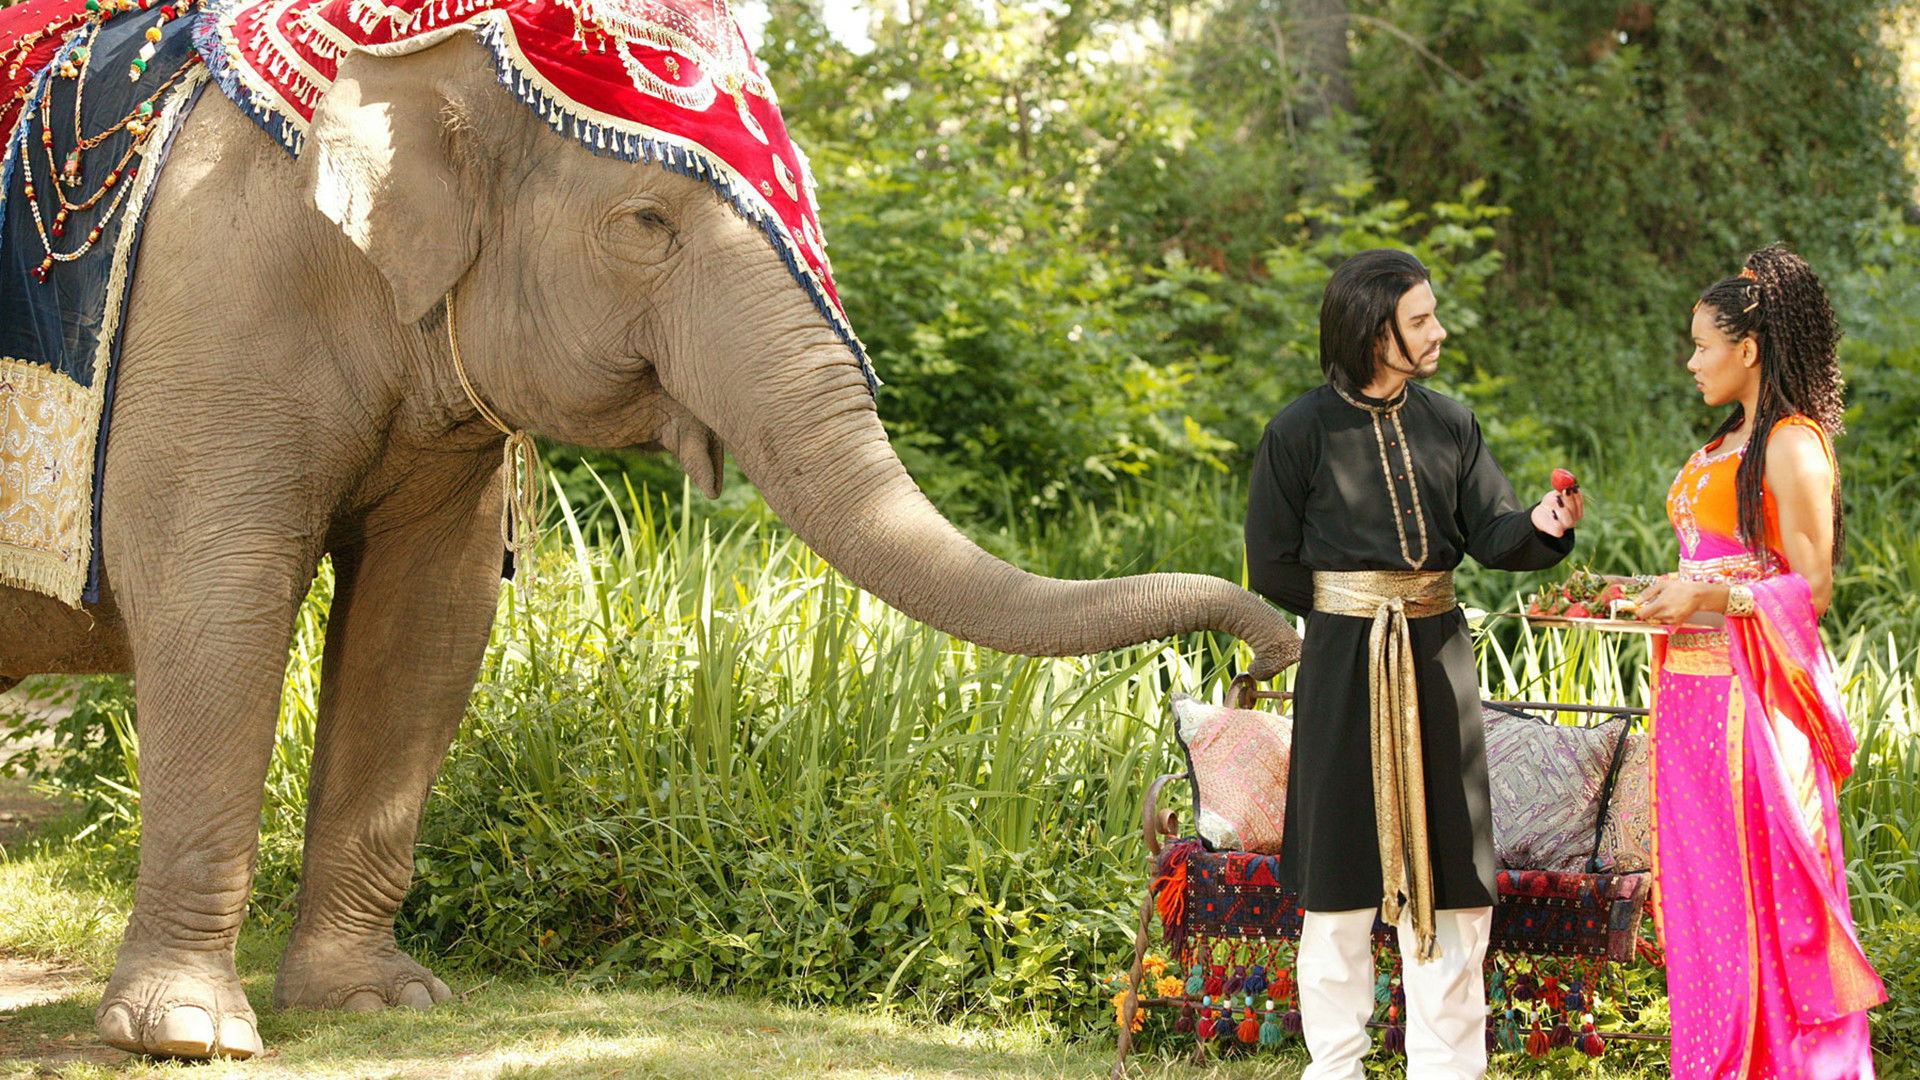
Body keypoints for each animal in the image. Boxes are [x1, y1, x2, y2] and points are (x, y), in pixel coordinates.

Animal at [0, 24, 1299, 1062]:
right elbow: (218, 600)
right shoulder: (211, 307)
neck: (398, 56)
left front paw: (378, 1006)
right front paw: (187, 1037)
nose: (1267, 653)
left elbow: (426, 620)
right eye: (645, 223)